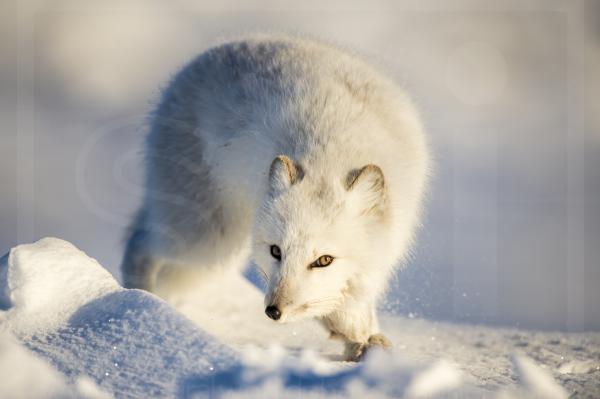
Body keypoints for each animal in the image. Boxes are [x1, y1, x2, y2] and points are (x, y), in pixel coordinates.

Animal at [122, 35, 428, 362]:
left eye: (324, 260)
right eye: (276, 251)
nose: (273, 311)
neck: (329, 157)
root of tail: (192, 65)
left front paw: (364, 342)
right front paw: (356, 339)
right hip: (206, 237)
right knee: (141, 241)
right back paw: (141, 301)